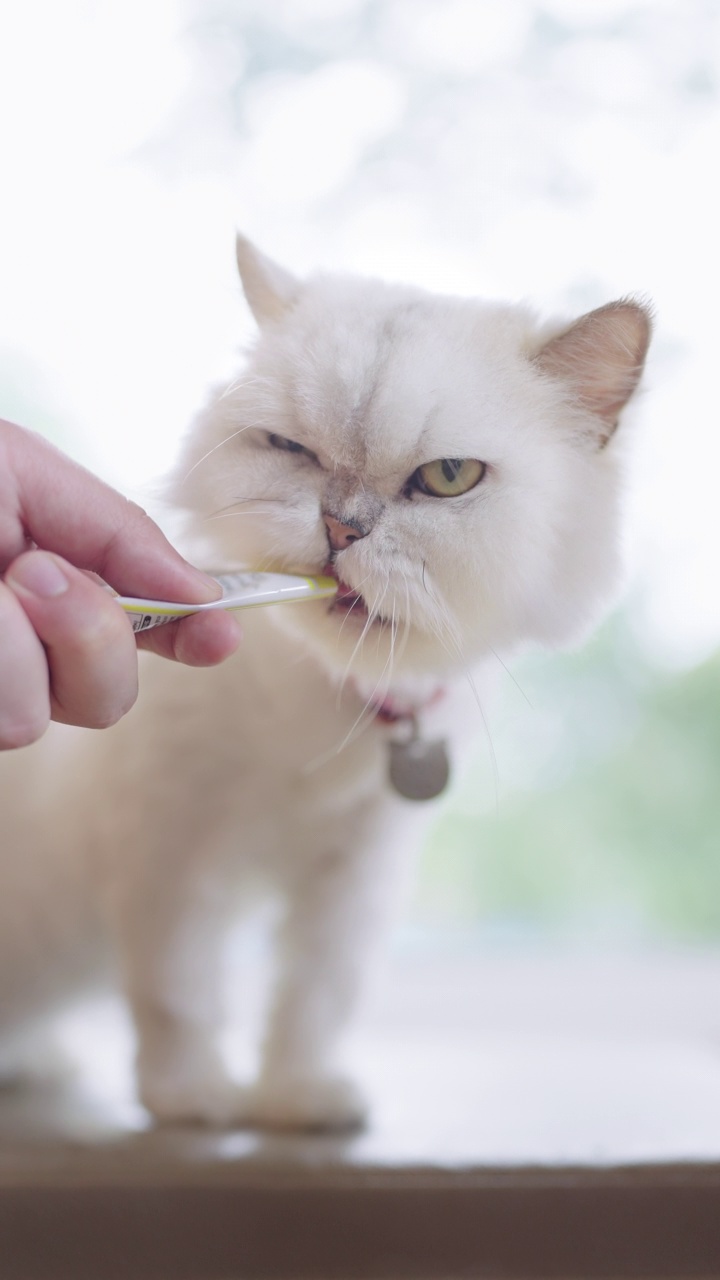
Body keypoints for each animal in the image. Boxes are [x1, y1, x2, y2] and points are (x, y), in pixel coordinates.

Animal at [0, 240, 650, 1131]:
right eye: (289, 448)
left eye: (449, 477)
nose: (340, 529)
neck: (327, 714)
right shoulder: (169, 850)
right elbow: (179, 994)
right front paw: (194, 1101)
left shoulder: (355, 874)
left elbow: (316, 996)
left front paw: (301, 1099)